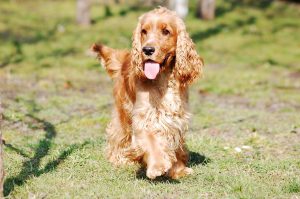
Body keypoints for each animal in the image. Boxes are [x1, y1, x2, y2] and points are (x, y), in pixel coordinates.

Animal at [92, 7, 204, 180]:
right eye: (144, 31)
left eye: (166, 31)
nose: (147, 50)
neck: (163, 79)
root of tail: (125, 57)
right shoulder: (144, 116)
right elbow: (151, 139)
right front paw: (157, 166)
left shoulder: (176, 117)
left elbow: (174, 142)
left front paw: (178, 170)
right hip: (123, 111)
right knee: (118, 135)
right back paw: (121, 159)